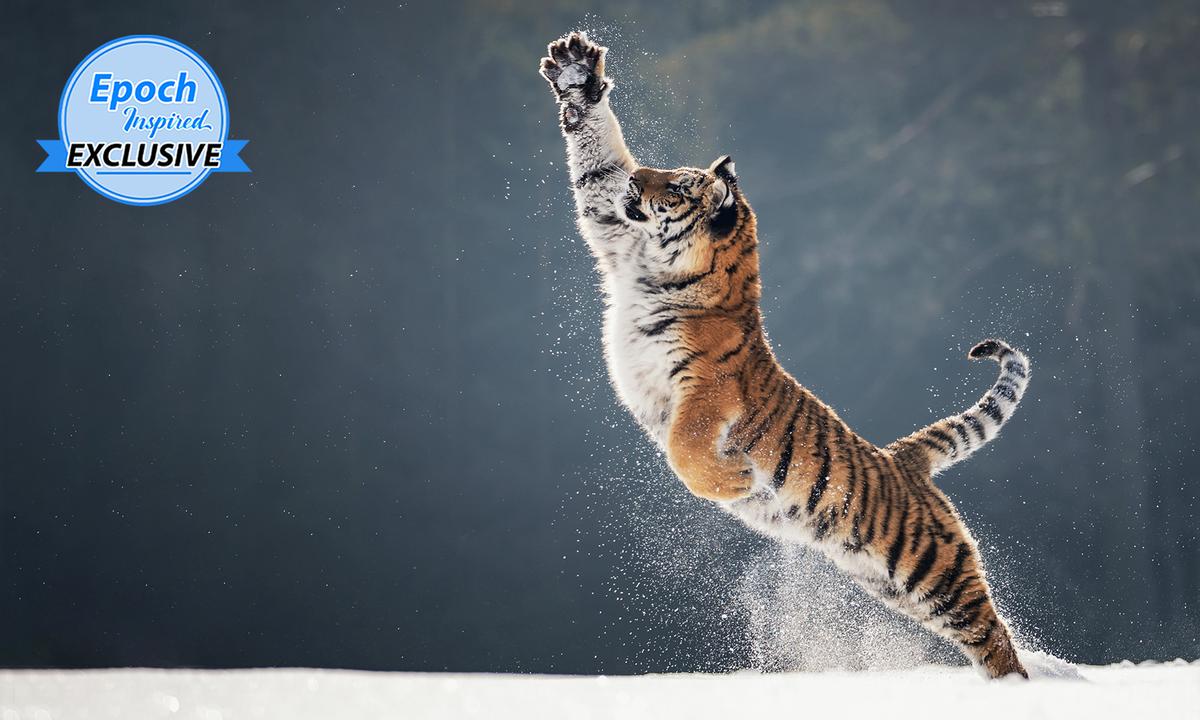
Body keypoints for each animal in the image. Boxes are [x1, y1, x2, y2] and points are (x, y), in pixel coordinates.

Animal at [539, 31, 1031, 679]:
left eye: (677, 186)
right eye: (659, 174)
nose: (638, 178)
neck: (658, 271)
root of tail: (904, 460)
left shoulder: (706, 389)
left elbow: (686, 450)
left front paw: (737, 479)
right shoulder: (614, 232)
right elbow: (596, 168)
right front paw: (576, 75)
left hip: (931, 569)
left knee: (993, 632)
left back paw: (1016, 686)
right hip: (889, 582)